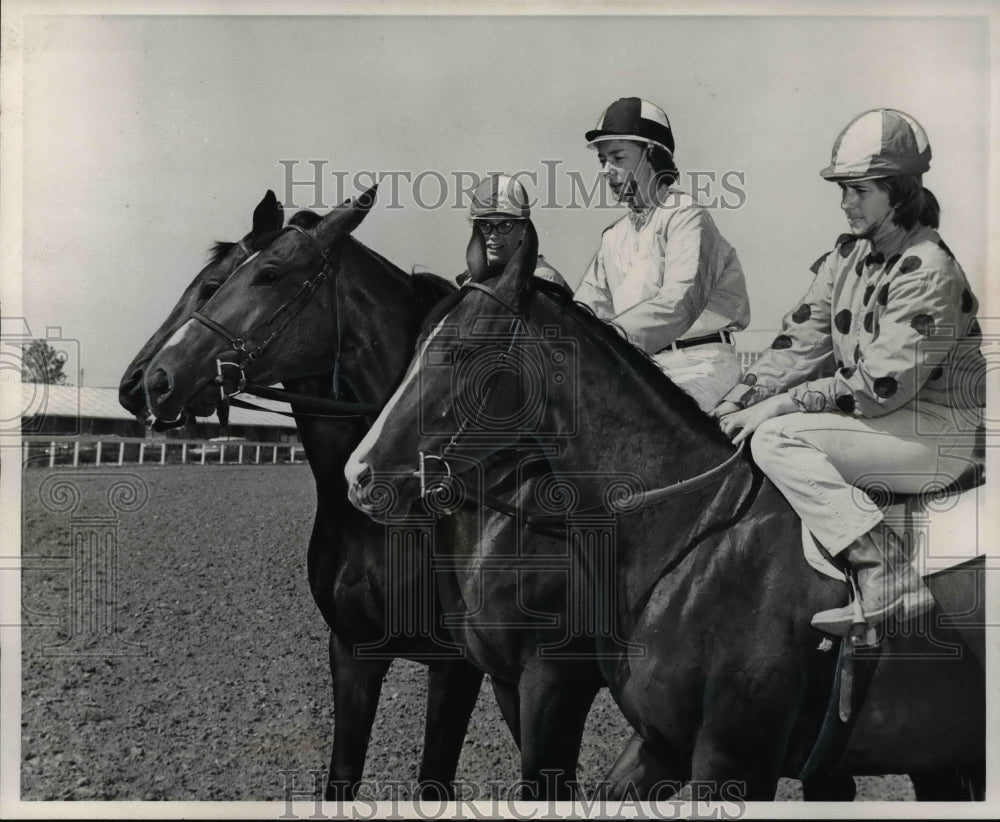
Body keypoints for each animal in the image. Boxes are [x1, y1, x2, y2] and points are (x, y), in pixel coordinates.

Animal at [125, 190, 484, 800]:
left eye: (266, 275)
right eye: (218, 282)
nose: (149, 382)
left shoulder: (459, 667)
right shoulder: (352, 651)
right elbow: (341, 776)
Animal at [344, 222, 984, 800]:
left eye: (461, 352)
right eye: (417, 344)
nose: (361, 475)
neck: (695, 534)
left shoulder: (727, 758)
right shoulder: (659, 742)